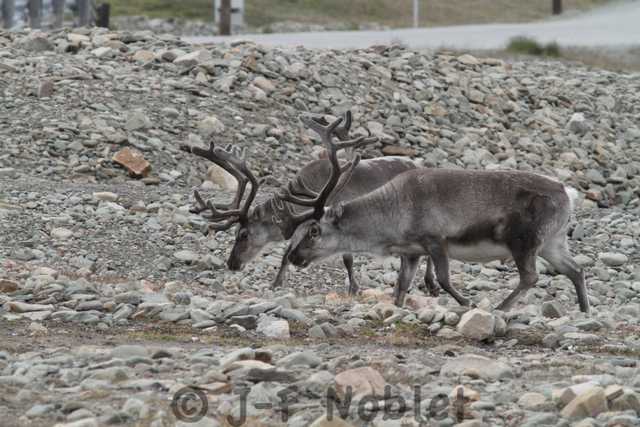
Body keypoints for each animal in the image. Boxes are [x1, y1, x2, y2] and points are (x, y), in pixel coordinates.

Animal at [180, 111, 440, 297]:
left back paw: (431, 283)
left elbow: (346, 257)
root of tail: (417, 165)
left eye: (243, 234)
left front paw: (353, 288)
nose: (232, 263)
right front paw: (276, 283)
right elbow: (287, 253)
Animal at [277, 137, 590, 313]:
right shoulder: (412, 252)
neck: (392, 212)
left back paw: (500, 308)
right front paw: (398, 308)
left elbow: (443, 279)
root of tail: (567, 192)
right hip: (552, 242)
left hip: (523, 241)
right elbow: (402, 286)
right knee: (575, 270)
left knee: (530, 277)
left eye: (314, 231)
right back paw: (584, 310)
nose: (294, 256)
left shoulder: (436, 241)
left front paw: (467, 303)